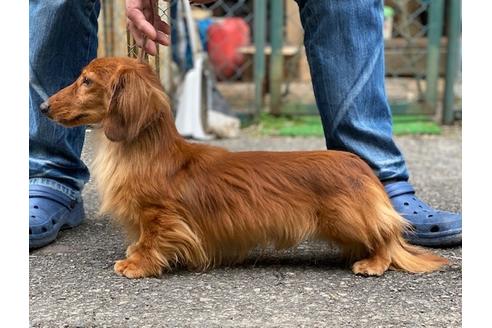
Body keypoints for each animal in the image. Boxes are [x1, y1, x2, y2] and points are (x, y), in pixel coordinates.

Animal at [42, 57, 448, 278]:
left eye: (86, 81)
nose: (43, 107)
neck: (143, 154)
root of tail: (363, 169)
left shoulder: (160, 214)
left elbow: (154, 239)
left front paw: (138, 263)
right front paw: (133, 254)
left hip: (347, 218)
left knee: (386, 238)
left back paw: (373, 262)